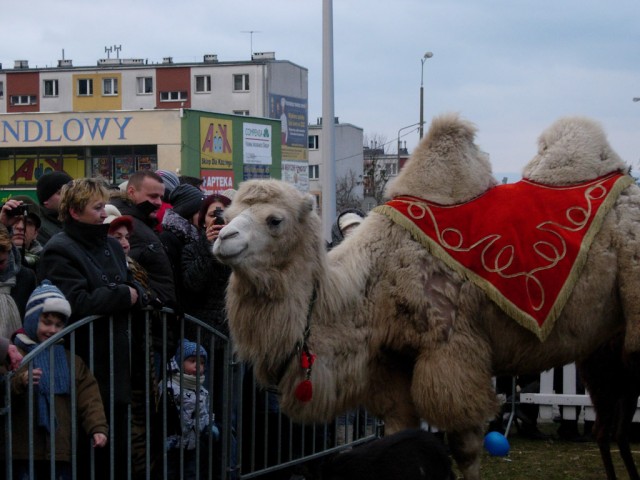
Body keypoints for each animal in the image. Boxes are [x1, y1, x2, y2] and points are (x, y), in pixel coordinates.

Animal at [212, 111, 640, 476]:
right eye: (227, 214)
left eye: (275, 220)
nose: (222, 239)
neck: (372, 281)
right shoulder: (391, 362)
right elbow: (400, 430)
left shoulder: (451, 351)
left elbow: (465, 449)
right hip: (603, 344)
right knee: (610, 428)